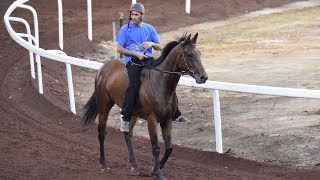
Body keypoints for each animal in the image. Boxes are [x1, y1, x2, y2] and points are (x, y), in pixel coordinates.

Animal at [81, 33, 209, 179]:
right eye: (189, 55)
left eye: (199, 53)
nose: (203, 77)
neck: (160, 82)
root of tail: (104, 67)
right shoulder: (152, 119)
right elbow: (156, 147)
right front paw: (158, 173)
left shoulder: (166, 119)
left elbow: (169, 147)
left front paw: (155, 168)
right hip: (104, 106)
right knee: (102, 132)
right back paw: (104, 164)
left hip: (131, 112)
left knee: (127, 133)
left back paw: (134, 164)